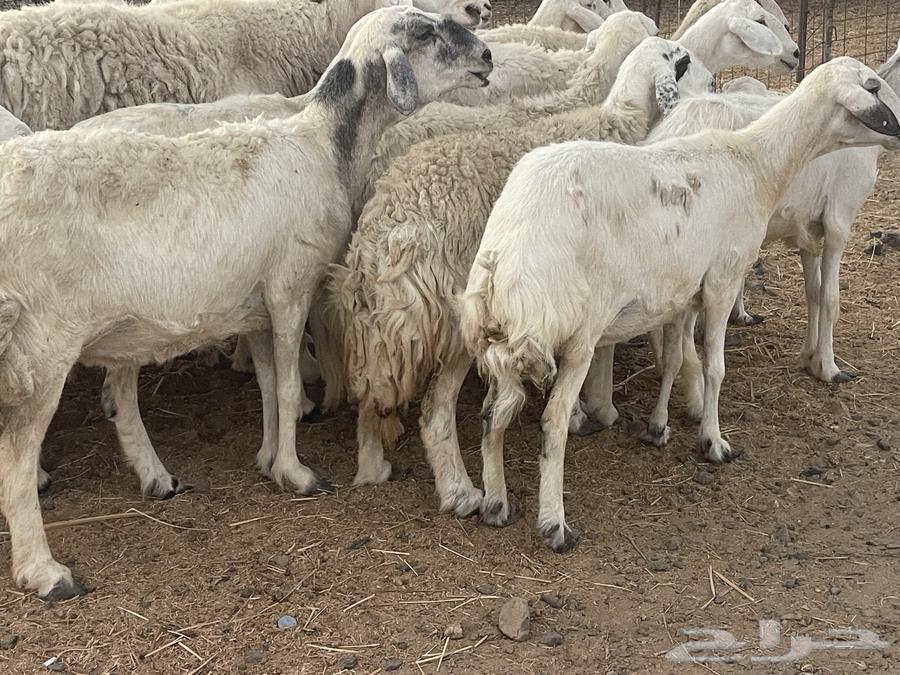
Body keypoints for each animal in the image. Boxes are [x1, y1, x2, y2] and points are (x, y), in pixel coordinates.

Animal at [330, 37, 712, 517]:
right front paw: (591, 412)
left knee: (371, 396)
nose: (714, 82)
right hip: (457, 325)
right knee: (435, 413)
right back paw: (460, 491)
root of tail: (385, 242)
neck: (614, 121)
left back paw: (372, 466)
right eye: (683, 60)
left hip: (379, 338)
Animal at [460, 57, 900, 552]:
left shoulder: (685, 291)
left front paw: (658, 427)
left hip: (500, 346)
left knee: (491, 416)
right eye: (873, 87)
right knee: (552, 421)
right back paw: (555, 524)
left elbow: (673, 359)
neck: (758, 164)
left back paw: (495, 503)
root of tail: (502, 266)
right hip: (574, 336)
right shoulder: (724, 280)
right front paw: (714, 442)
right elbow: (714, 367)